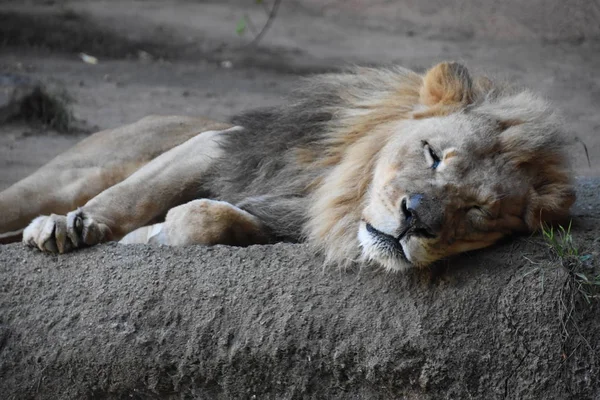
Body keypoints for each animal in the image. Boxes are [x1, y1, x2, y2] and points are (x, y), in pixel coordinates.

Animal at [0, 61, 576, 272]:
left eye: (478, 211)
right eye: (433, 154)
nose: (415, 218)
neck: (333, 190)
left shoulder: (293, 220)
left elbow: (207, 219)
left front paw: (156, 234)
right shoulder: (214, 144)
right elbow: (131, 197)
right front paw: (73, 227)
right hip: (62, 178)